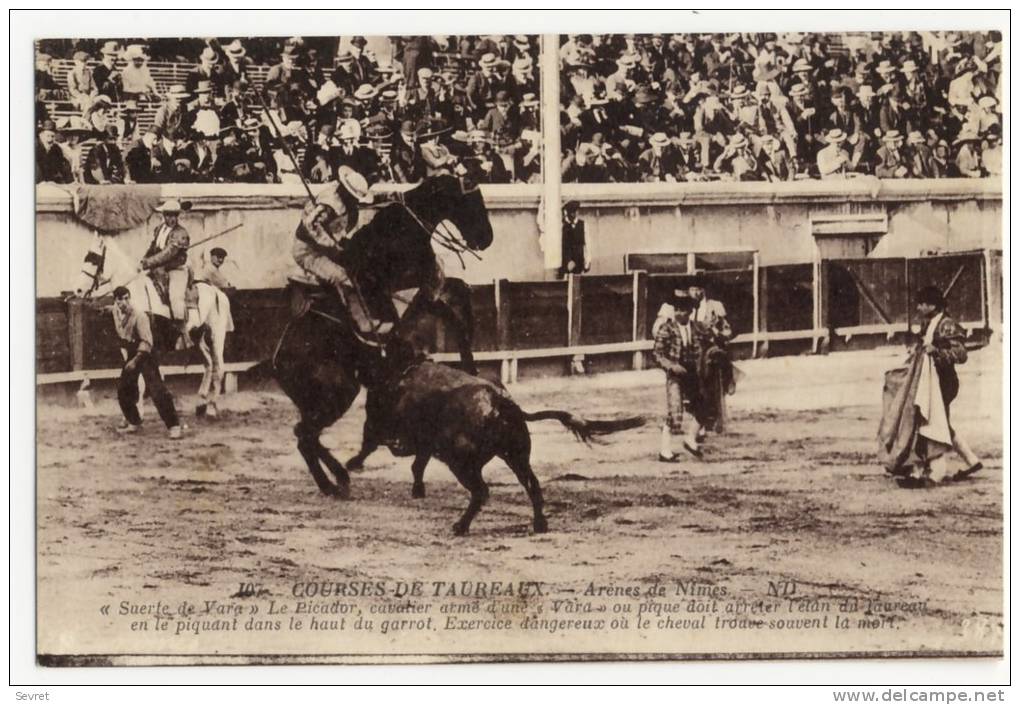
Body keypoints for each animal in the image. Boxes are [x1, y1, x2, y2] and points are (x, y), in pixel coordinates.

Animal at [74, 231, 234, 418]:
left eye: (94, 258)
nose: (77, 290)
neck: (132, 295)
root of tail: (217, 292)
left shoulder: (145, 344)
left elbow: (141, 380)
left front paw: (139, 412)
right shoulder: (126, 346)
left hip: (216, 334)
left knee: (219, 367)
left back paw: (212, 408)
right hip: (197, 336)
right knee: (208, 363)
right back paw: (201, 403)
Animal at [271, 174, 493, 499]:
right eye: (469, 200)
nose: (485, 238)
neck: (400, 231)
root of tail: (276, 361)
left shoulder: (426, 288)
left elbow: (457, 293)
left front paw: (471, 364)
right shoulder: (409, 289)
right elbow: (446, 308)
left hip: (321, 400)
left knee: (306, 436)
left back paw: (336, 480)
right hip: (338, 394)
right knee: (305, 435)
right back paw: (337, 479)